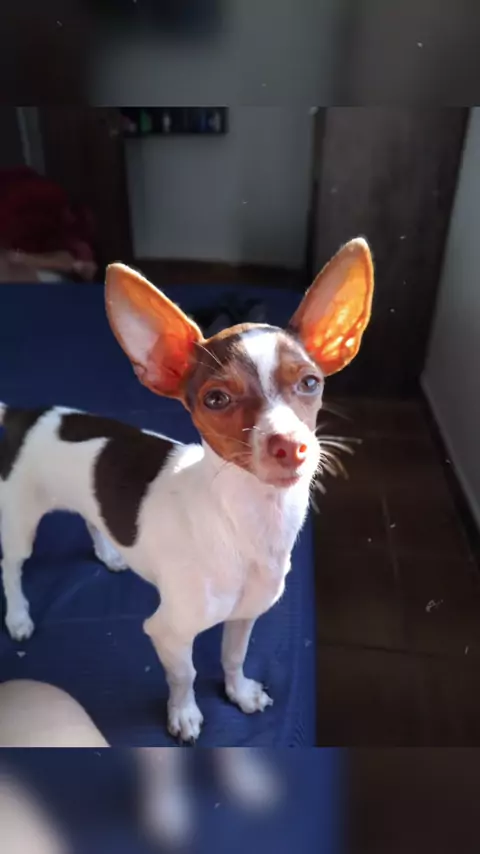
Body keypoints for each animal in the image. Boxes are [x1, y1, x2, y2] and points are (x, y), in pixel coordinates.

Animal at [0, 238, 374, 742]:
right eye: (216, 399)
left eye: (310, 383)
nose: (290, 446)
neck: (247, 525)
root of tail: (26, 414)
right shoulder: (168, 631)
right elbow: (186, 674)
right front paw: (184, 713)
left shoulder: (246, 614)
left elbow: (233, 656)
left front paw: (239, 692)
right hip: (20, 521)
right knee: (12, 567)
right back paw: (18, 615)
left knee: (92, 519)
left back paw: (110, 553)